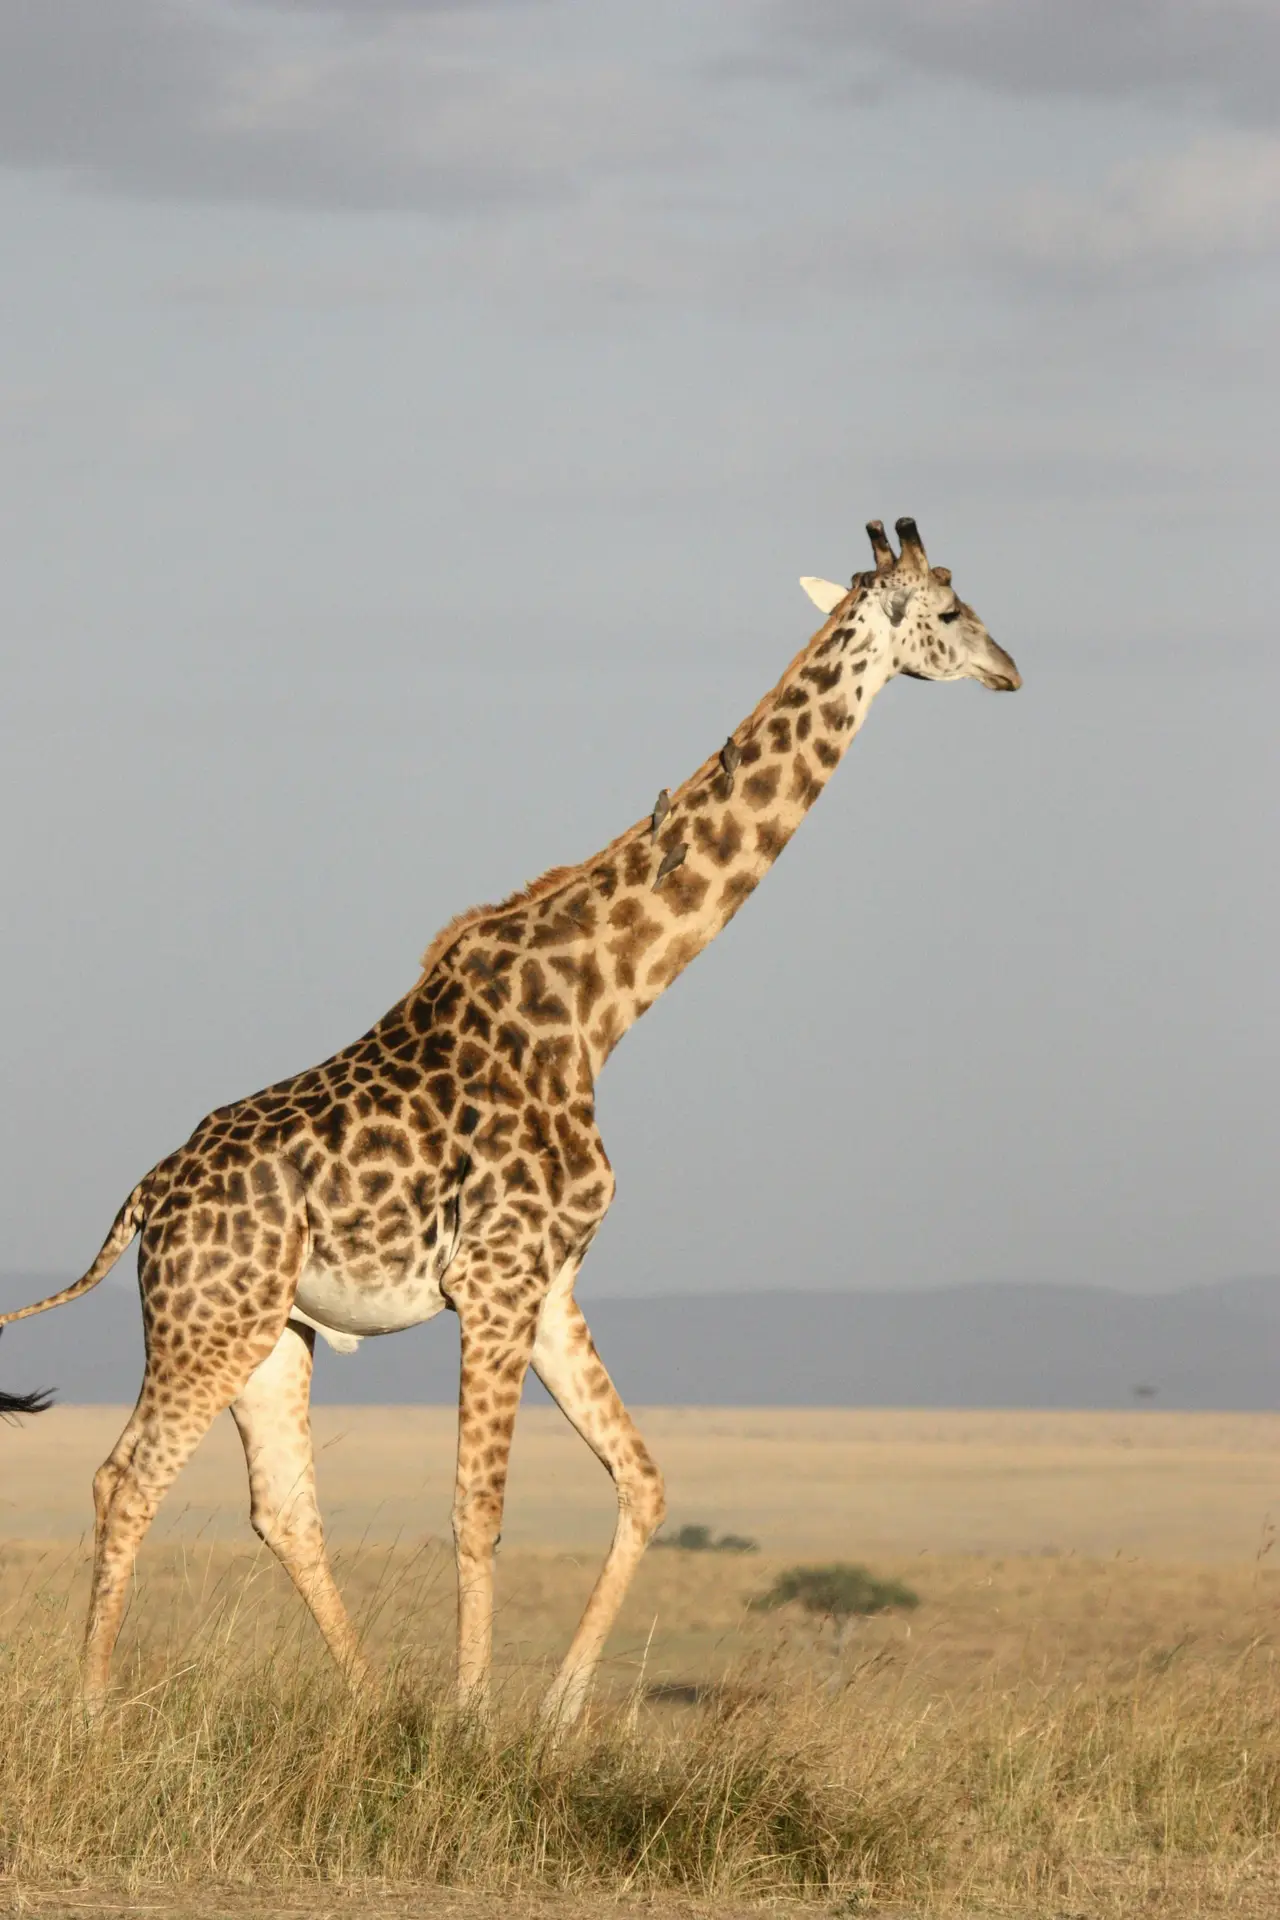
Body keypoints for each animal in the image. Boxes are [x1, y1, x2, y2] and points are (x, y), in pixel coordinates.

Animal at [0, 518, 1020, 1723]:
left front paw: (557, 1713)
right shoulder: (492, 1279)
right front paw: (472, 1718)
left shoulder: (551, 1281)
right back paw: (94, 1709)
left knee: (281, 1505)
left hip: (271, 1333)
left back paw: (368, 1701)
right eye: (950, 613)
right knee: (125, 1478)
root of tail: (144, 1202)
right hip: (208, 1321)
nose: (1010, 669)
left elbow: (642, 1480)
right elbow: (476, 1511)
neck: (600, 1007)